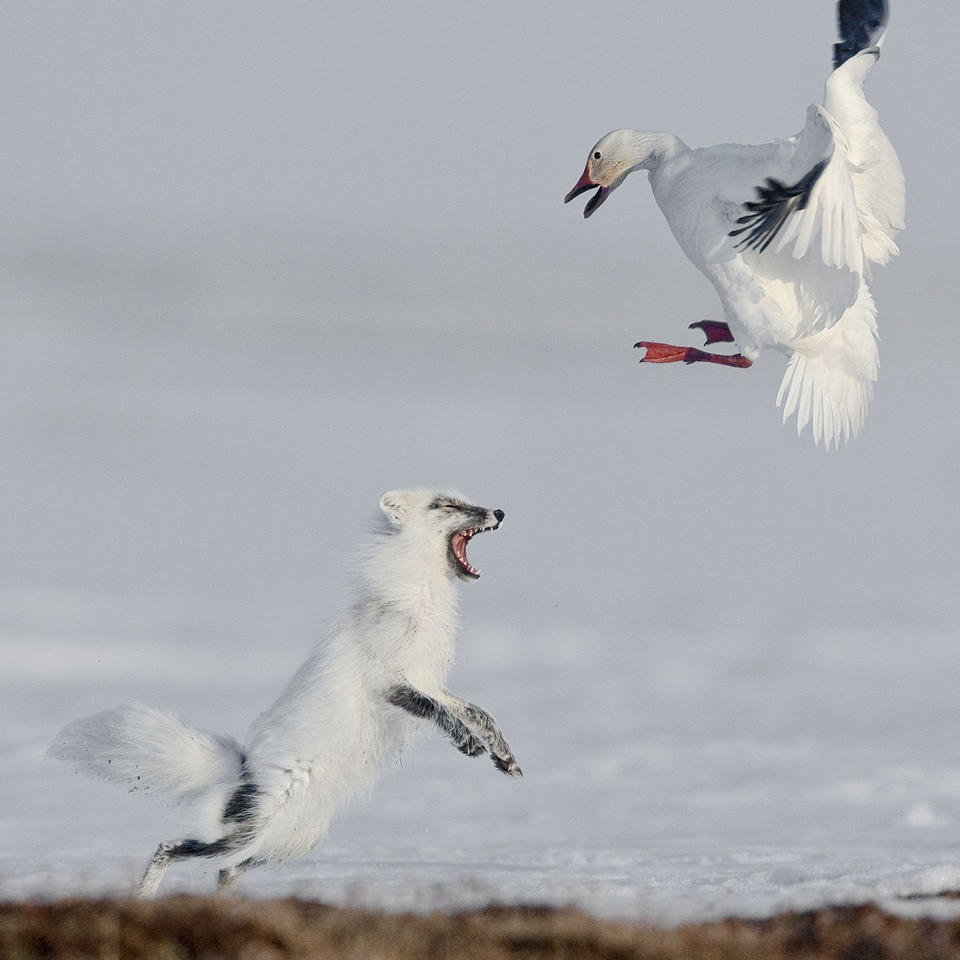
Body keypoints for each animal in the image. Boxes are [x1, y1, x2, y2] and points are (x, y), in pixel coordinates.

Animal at [49, 492, 520, 896]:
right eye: (446, 504)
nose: (498, 512)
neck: (419, 596)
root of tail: (242, 769)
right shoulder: (391, 682)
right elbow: (440, 713)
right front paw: (467, 743)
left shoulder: (429, 680)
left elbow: (480, 712)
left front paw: (504, 756)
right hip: (252, 831)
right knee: (170, 849)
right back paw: (144, 898)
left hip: (293, 841)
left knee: (225, 871)